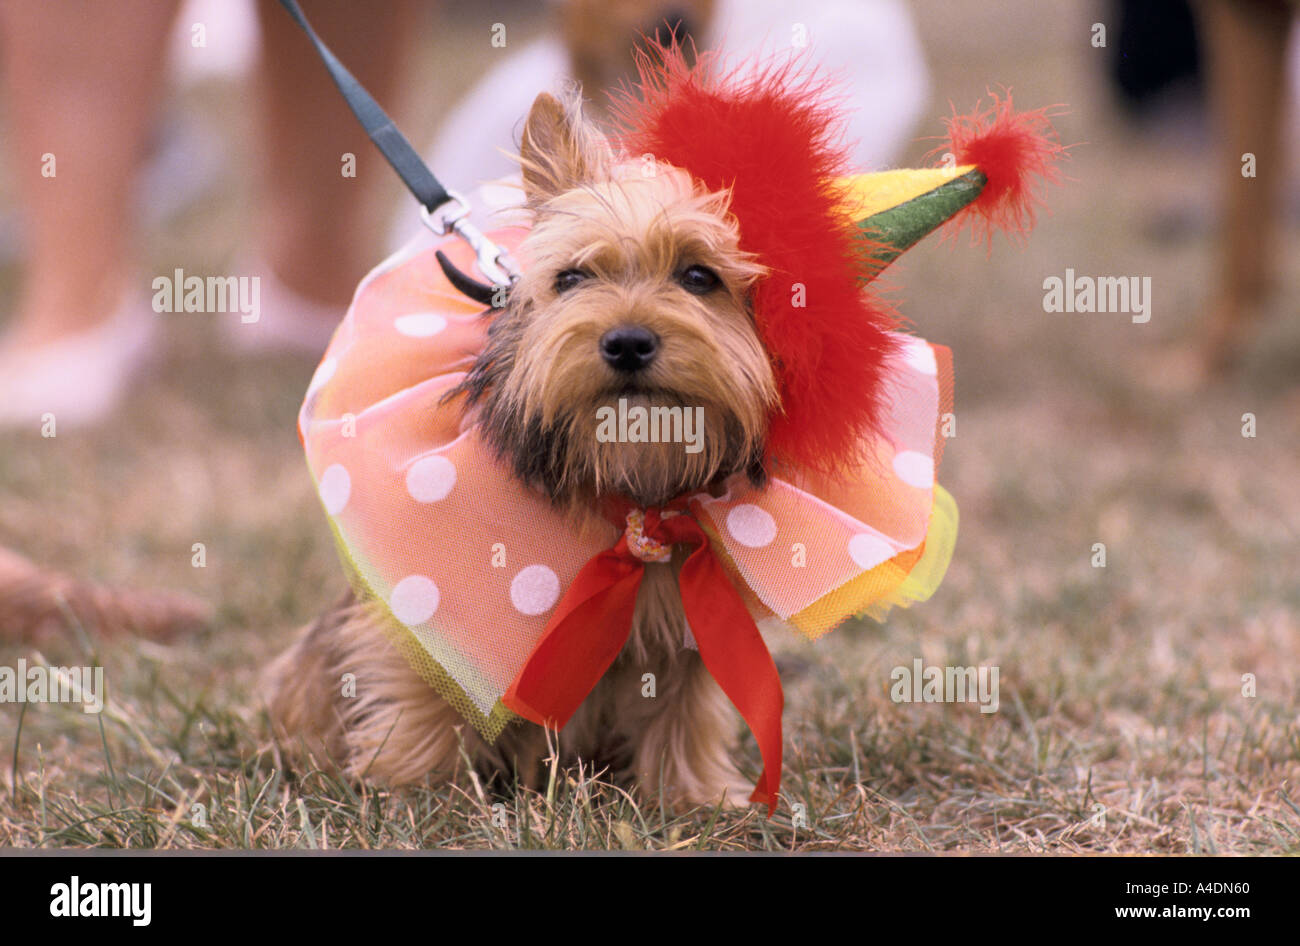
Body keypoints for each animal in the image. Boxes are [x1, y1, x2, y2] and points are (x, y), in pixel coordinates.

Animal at [262, 88, 769, 810]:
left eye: (700, 276)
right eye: (572, 278)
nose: (626, 341)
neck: (625, 489)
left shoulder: (688, 619)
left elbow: (685, 705)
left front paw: (694, 794)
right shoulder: (434, 608)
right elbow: (424, 692)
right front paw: (418, 793)